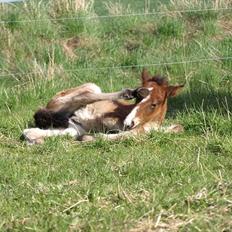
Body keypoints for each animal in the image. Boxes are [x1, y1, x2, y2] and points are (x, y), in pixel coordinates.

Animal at [22, 69, 184, 144]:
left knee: (30, 131)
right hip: (90, 88)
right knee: (84, 97)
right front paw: (93, 138)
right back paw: (128, 92)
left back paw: (35, 139)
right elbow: (129, 133)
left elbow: (178, 128)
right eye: (137, 100)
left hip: (72, 127)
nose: (128, 122)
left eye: (154, 104)